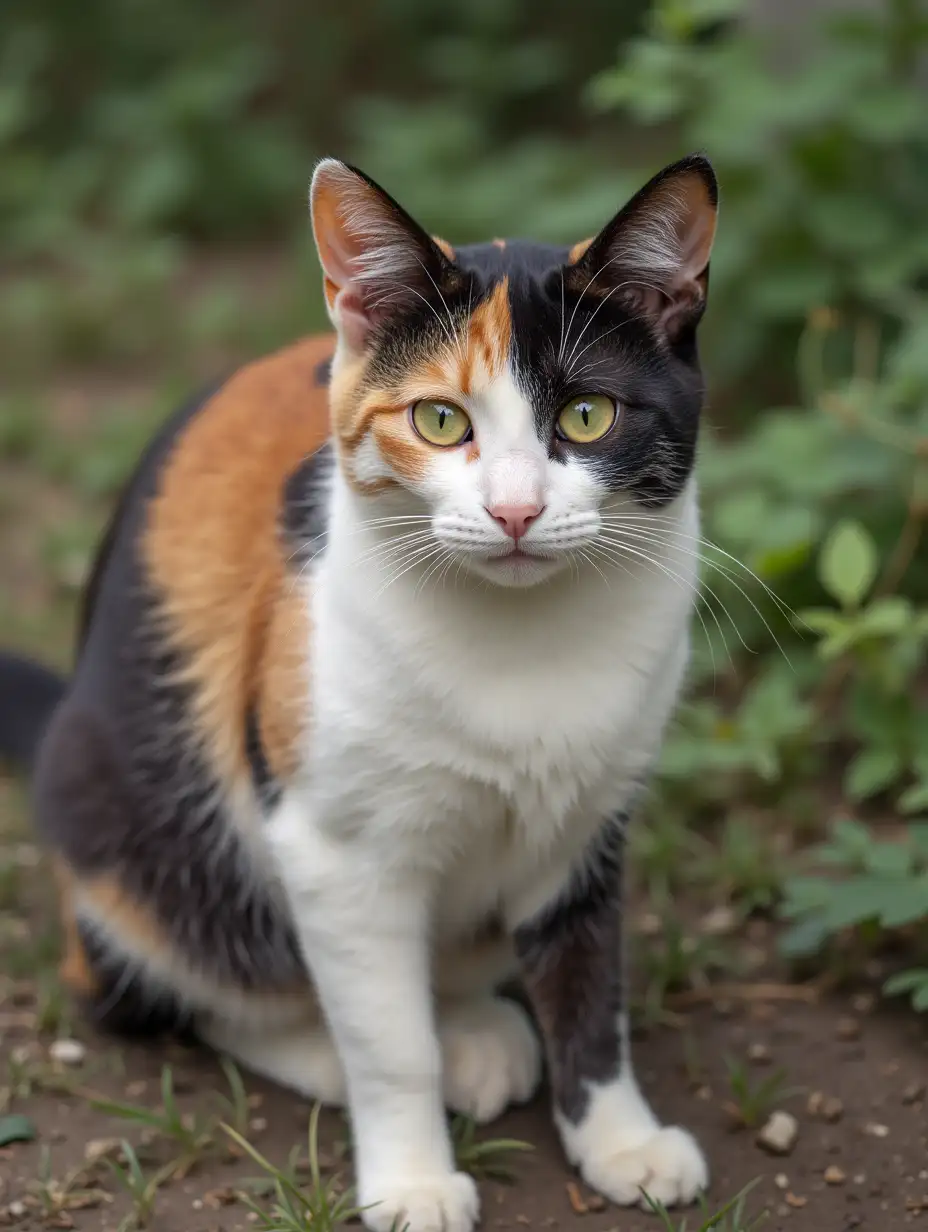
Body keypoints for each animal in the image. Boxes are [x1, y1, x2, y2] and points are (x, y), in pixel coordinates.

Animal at [1, 154, 714, 1232]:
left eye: (587, 415)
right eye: (439, 420)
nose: (514, 511)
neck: (520, 650)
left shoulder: (593, 818)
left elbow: (593, 988)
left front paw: (621, 1141)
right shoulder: (331, 848)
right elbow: (390, 1041)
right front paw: (413, 1179)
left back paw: (476, 1028)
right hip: (132, 836)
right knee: (178, 991)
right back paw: (347, 1049)